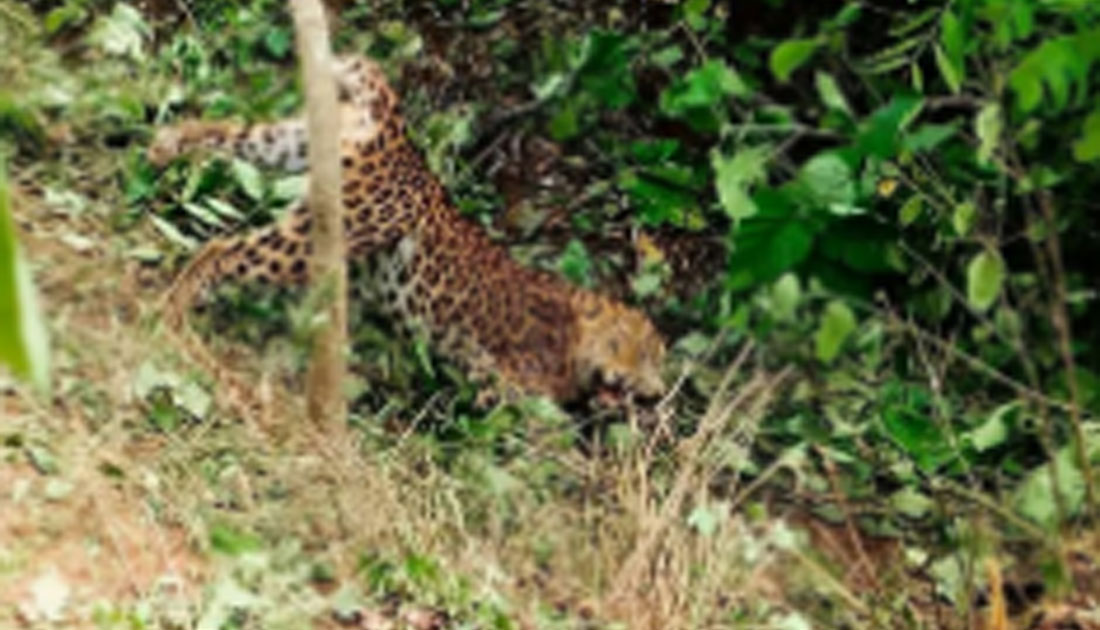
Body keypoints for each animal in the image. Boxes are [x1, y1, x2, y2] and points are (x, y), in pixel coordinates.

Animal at [150, 57, 664, 402]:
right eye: (645, 354)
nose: (657, 392)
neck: (579, 331)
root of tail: (396, 130)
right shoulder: (495, 381)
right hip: (336, 229)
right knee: (221, 248)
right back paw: (173, 315)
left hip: (290, 145)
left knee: (232, 129)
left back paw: (167, 144)